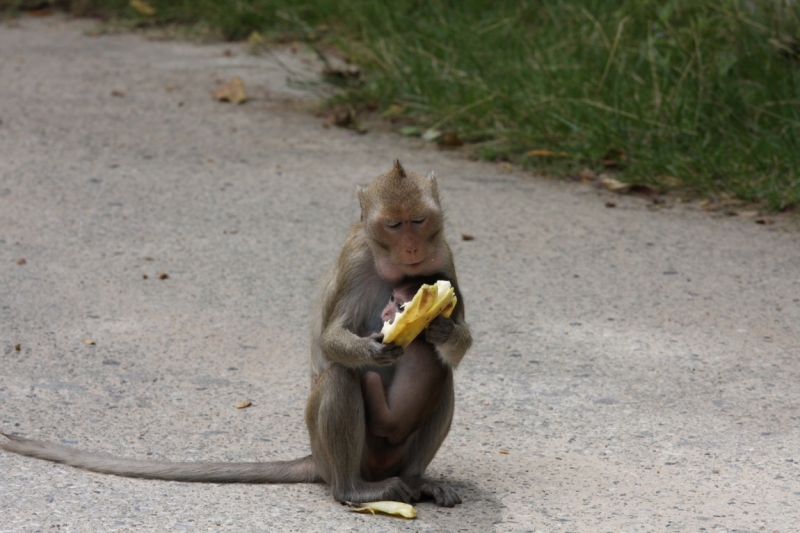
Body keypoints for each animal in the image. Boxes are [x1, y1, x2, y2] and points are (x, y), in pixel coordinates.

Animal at [362, 276, 450, 446]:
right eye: (392, 298)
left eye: (400, 307)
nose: (386, 311)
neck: (420, 338)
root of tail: (399, 431)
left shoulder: (406, 347)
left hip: (384, 419)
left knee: (370, 377)